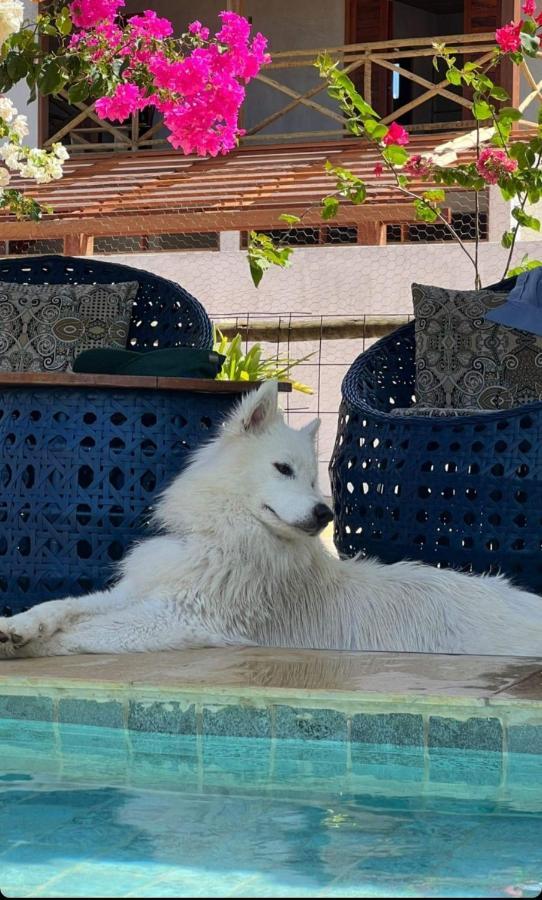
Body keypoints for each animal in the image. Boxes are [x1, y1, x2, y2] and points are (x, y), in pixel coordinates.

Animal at [1, 380, 542, 660]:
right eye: (283, 469)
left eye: (315, 480)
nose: (324, 512)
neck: (221, 537)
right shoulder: (139, 593)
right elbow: (64, 606)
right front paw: (18, 625)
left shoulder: (181, 618)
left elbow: (78, 632)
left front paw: (25, 645)